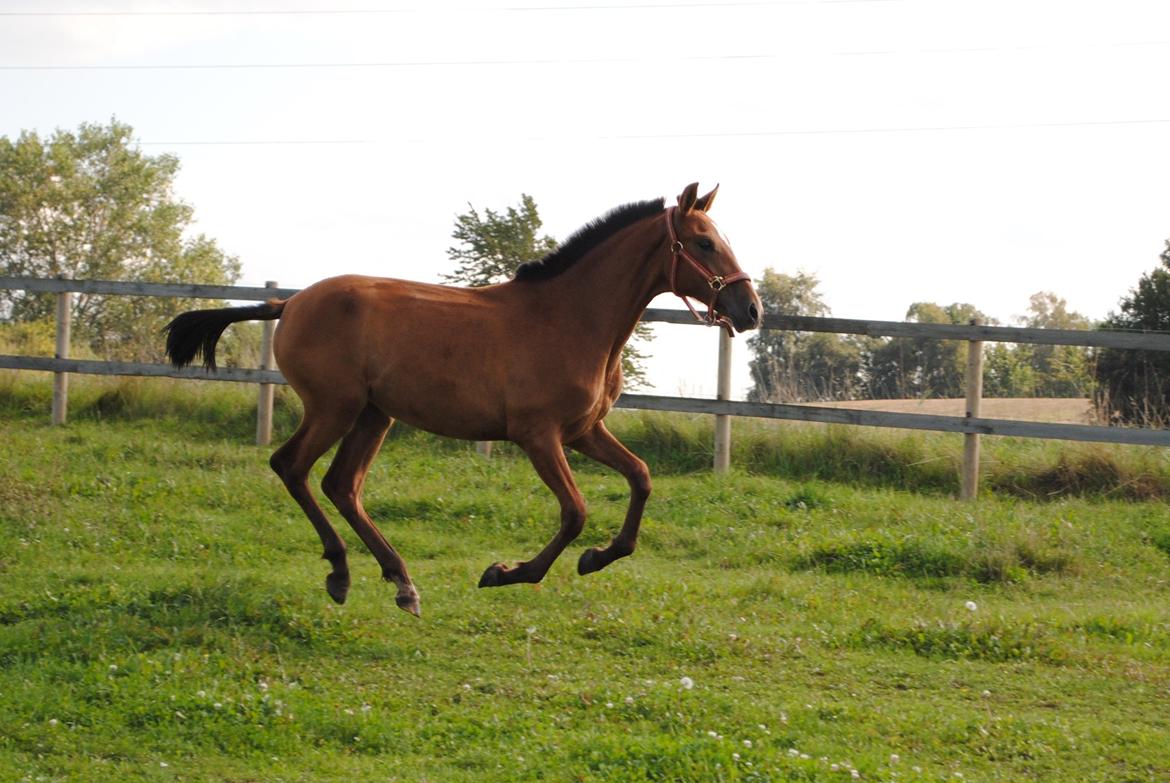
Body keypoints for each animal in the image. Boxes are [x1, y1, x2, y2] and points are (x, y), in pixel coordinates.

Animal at [167, 184, 767, 617]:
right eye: (705, 243)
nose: (751, 309)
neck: (569, 318)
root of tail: (289, 304)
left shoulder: (584, 431)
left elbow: (640, 478)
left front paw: (597, 559)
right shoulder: (538, 436)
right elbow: (575, 511)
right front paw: (506, 572)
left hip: (374, 414)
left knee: (342, 485)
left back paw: (401, 583)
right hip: (334, 408)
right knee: (291, 466)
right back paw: (341, 573)